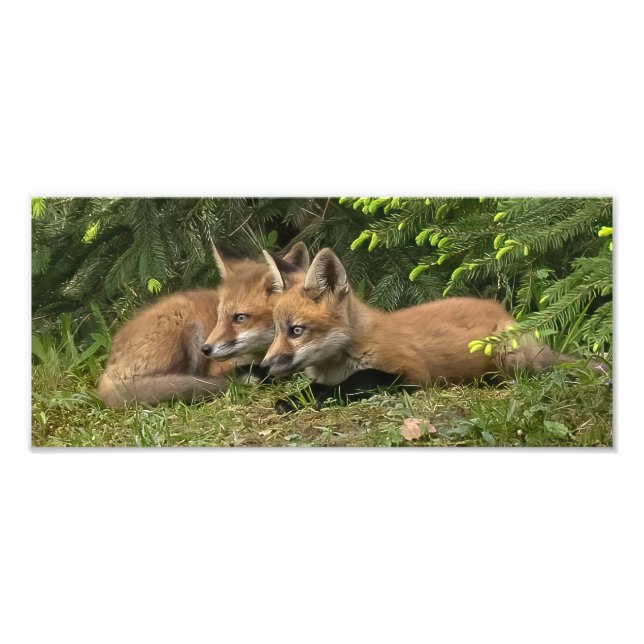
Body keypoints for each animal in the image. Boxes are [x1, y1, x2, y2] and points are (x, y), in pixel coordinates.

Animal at [260, 247, 590, 407]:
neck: (341, 361)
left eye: (296, 330)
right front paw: (291, 400)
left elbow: (360, 380)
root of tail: (501, 309)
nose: (263, 366)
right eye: (276, 330)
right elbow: (311, 389)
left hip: (507, 355)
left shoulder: (413, 374)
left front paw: (322, 399)